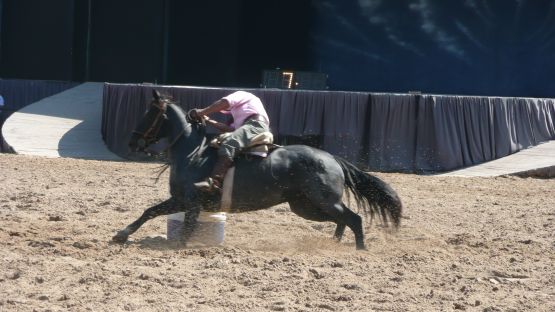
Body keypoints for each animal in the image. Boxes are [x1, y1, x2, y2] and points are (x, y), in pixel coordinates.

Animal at [112, 89, 404, 249]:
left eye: (149, 113)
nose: (132, 142)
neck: (192, 153)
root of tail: (331, 158)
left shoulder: (191, 202)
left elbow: (185, 228)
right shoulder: (180, 200)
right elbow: (149, 212)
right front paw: (120, 235)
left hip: (323, 201)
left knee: (354, 219)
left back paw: (360, 250)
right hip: (305, 206)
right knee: (342, 221)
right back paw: (333, 244)